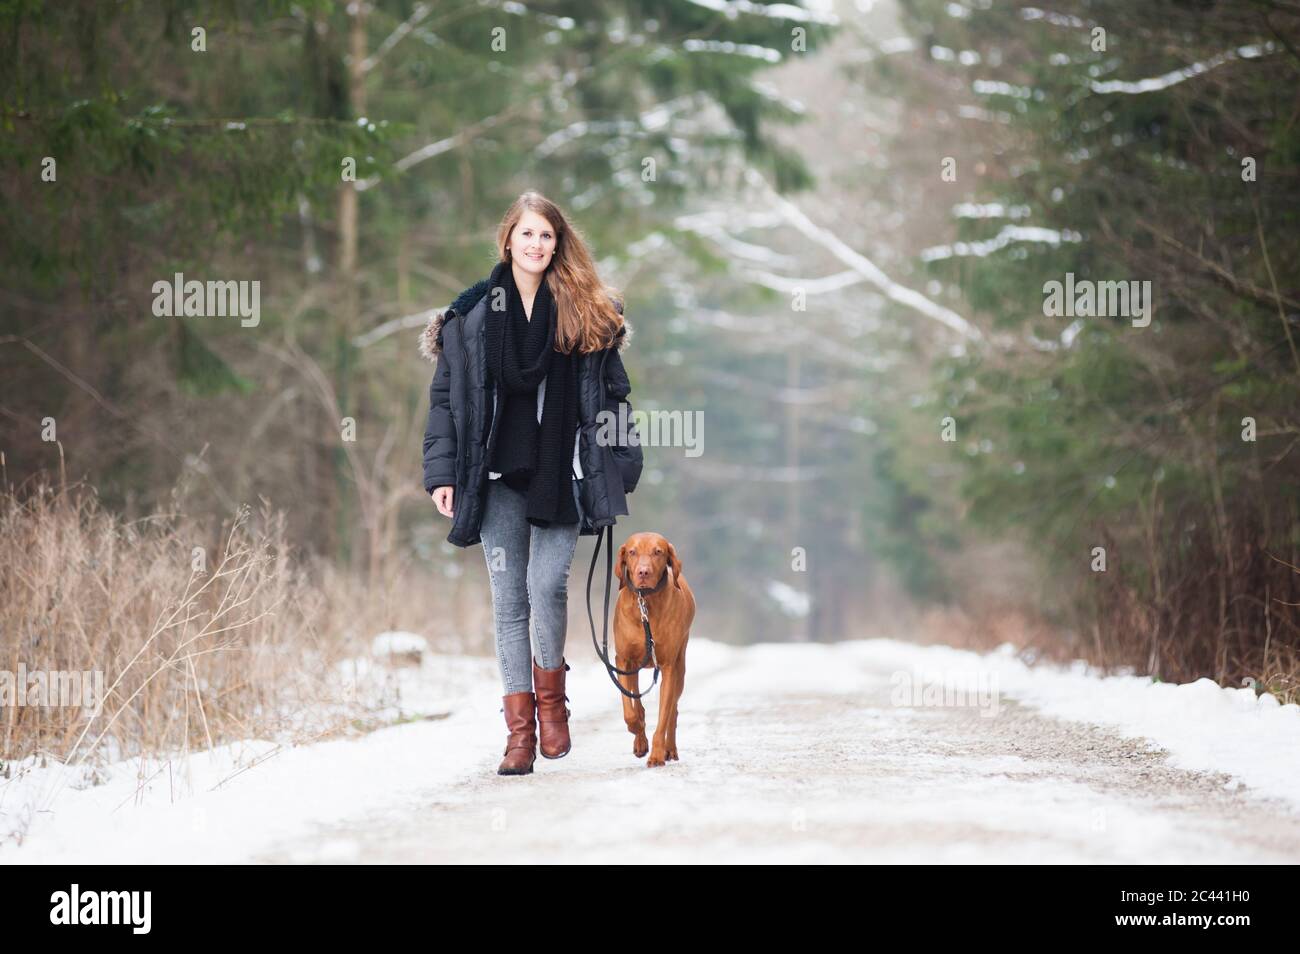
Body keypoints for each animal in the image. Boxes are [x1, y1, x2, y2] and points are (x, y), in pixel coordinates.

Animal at [613, 530, 696, 769]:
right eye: (632, 552)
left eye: (658, 552)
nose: (643, 572)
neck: (646, 601)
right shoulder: (623, 661)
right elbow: (630, 711)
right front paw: (638, 732)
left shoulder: (668, 666)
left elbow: (663, 717)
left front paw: (657, 754)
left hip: (680, 667)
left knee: (673, 711)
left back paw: (670, 749)